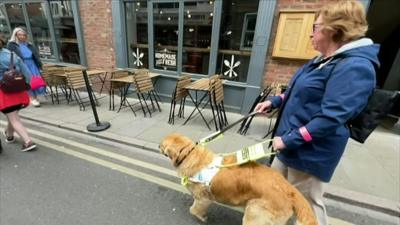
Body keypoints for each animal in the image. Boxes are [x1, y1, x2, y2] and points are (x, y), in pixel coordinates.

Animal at [158, 134, 318, 225]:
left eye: (162, 144)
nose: (158, 145)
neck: (189, 154)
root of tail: (289, 189)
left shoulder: (203, 198)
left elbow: (194, 209)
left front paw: (202, 217)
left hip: (254, 214)